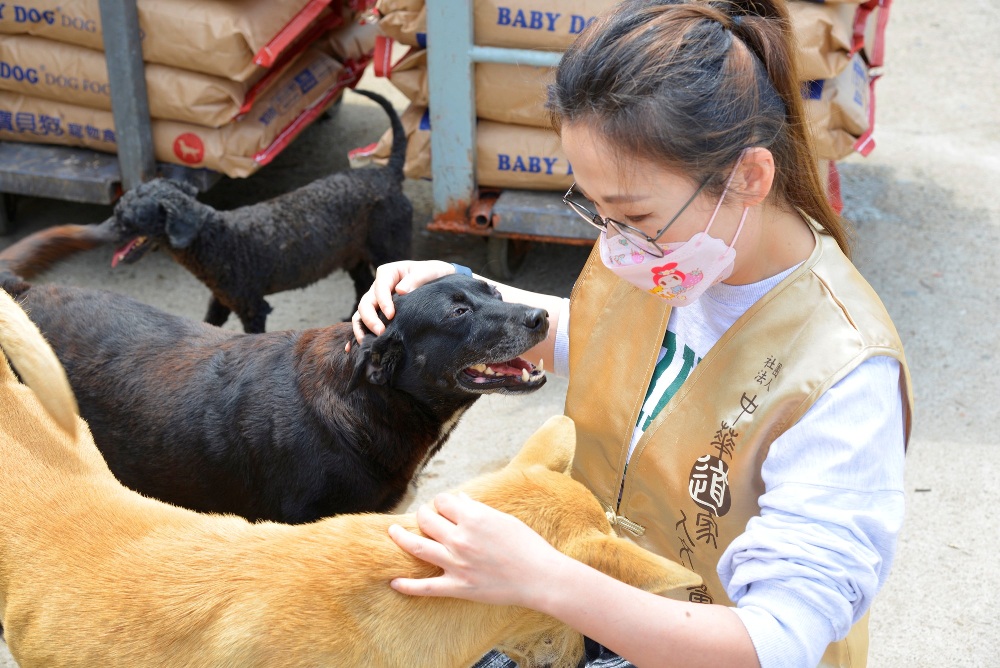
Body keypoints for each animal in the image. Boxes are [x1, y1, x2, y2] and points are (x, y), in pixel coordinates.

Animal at [104, 92, 410, 334]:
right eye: (118, 211)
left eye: (127, 219)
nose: (100, 233)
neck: (216, 240)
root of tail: (388, 173)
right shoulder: (221, 300)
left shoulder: (252, 306)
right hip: (352, 255)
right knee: (364, 285)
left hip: (389, 248)